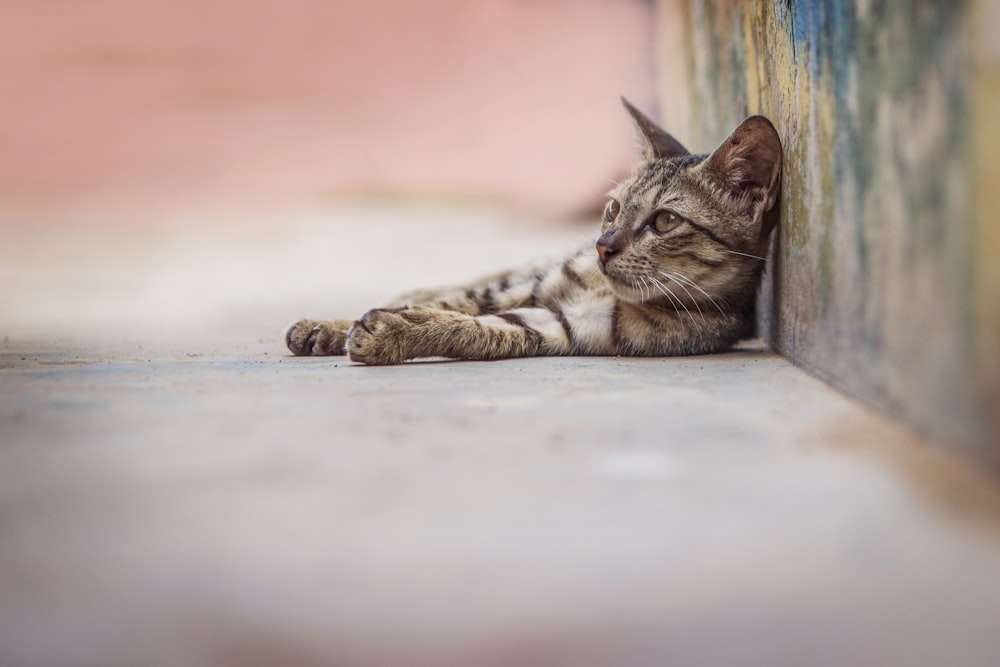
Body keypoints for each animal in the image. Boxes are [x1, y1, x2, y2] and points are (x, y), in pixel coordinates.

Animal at [284, 100, 780, 366]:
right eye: (613, 209)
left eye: (665, 221)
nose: (603, 247)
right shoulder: (530, 286)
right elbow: (454, 302)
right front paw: (338, 324)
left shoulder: (558, 327)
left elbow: (470, 328)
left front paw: (391, 333)